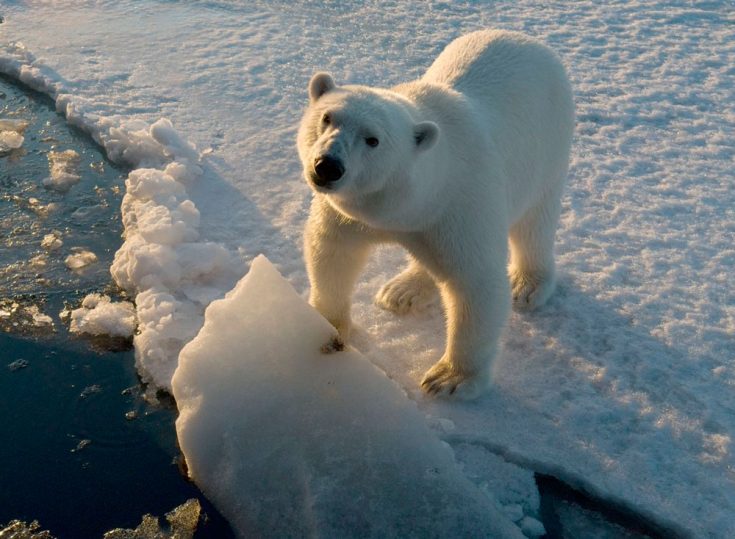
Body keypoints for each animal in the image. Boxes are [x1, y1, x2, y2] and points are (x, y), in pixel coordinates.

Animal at [300, 30, 576, 400]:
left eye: (372, 139)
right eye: (327, 118)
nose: (327, 166)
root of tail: (528, 40)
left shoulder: (460, 205)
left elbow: (476, 284)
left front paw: (449, 379)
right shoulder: (352, 214)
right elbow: (332, 252)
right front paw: (324, 323)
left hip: (548, 147)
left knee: (534, 222)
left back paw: (527, 284)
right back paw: (403, 290)